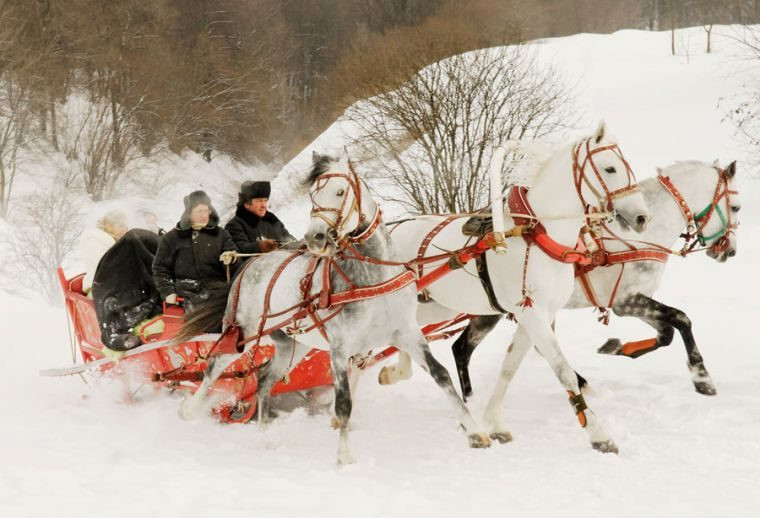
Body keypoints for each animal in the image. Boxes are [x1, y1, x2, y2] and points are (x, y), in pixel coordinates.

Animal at [176, 152, 490, 466]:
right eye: (313, 195)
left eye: (340, 192)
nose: (315, 238)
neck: (372, 277)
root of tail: (250, 264)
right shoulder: (341, 347)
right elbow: (344, 403)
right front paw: (344, 456)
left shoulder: (406, 332)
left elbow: (441, 375)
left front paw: (476, 432)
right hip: (243, 332)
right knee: (215, 365)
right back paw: (190, 409)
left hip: (291, 344)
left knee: (264, 381)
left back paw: (266, 437)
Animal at [386, 123, 648, 456]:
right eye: (610, 168)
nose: (642, 217)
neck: (538, 234)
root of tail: (392, 230)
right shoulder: (532, 314)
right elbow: (562, 370)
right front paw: (599, 434)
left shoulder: (535, 314)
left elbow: (509, 367)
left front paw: (494, 422)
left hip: (432, 307)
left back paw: (395, 374)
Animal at [448, 160, 740, 400]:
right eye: (736, 207)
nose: (730, 251)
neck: (639, 237)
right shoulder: (627, 301)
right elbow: (681, 318)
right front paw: (702, 379)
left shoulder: (633, 302)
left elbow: (666, 333)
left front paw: (616, 347)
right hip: (491, 311)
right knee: (462, 349)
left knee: (465, 349)